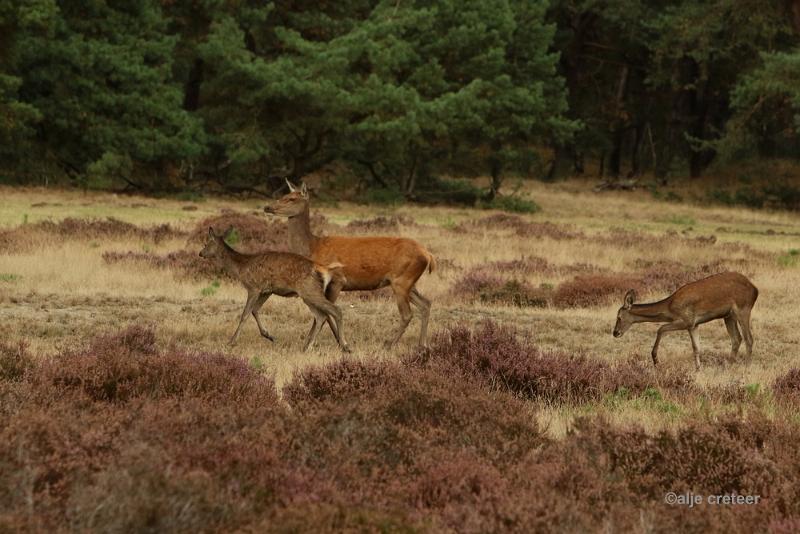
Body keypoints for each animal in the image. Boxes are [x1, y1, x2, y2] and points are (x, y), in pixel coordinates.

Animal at [198, 228, 348, 354]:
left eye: (206, 243)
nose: (200, 253)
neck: (241, 268)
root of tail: (323, 269)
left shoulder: (253, 287)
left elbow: (245, 314)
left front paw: (231, 341)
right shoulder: (266, 291)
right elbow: (255, 310)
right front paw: (269, 335)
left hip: (310, 290)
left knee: (335, 310)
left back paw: (344, 345)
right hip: (308, 294)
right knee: (320, 316)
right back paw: (308, 346)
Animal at [266, 181, 434, 348]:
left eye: (291, 198)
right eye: (284, 195)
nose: (267, 207)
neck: (313, 247)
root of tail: (428, 255)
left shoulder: (337, 280)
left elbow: (327, 313)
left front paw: (339, 343)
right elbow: (325, 314)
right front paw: (335, 341)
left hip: (402, 280)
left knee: (407, 314)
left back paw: (389, 344)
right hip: (407, 283)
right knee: (426, 304)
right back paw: (423, 344)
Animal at [616, 274, 760, 370]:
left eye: (619, 317)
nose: (615, 332)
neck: (669, 309)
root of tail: (755, 290)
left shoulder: (687, 320)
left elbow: (661, 328)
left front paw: (656, 360)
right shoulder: (694, 325)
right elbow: (696, 347)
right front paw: (698, 369)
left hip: (743, 309)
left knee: (748, 338)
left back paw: (747, 366)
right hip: (728, 316)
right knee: (736, 338)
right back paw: (729, 365)